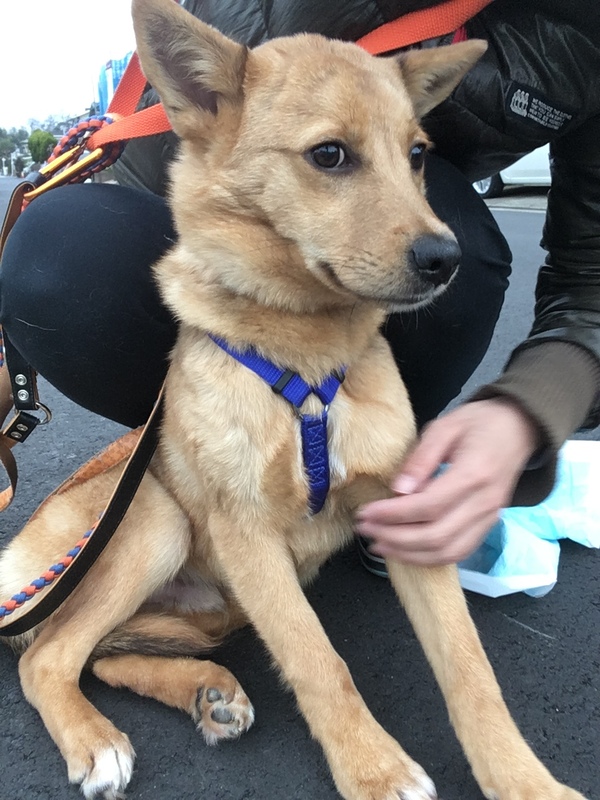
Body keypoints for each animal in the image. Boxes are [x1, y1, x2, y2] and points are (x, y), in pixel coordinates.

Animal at [0, 1, 589, 798]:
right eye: (330, 155)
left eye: (417, 154)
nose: (447, 261)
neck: (307, 358)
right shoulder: (247, 538)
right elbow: (318, 661)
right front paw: (375, 770)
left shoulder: (406, 515)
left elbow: (471, 671)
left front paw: (523, 780)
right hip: (156, 518)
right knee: (47, 656)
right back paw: (95, 740)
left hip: (211, 612)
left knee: (103, 653)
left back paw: (206, 691)